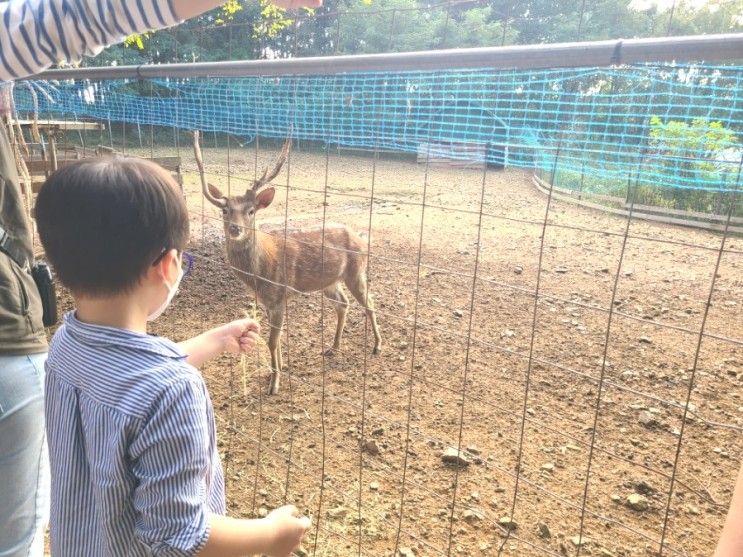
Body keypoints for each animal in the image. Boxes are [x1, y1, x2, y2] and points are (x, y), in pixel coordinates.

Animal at [195, 129, 384, 396]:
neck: (260, 271)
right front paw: (279, 368)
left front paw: (274, 383)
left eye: (251, 211)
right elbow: (275, 338)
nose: (235, 228)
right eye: (225, 211)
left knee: (370, 303)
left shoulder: (278, 296)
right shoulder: (267, 300)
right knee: (343, 304)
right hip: (330, 281)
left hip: (357, 271)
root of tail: (363, 238)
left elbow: (272, 340)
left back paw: (377, 345)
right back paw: (333, 347)